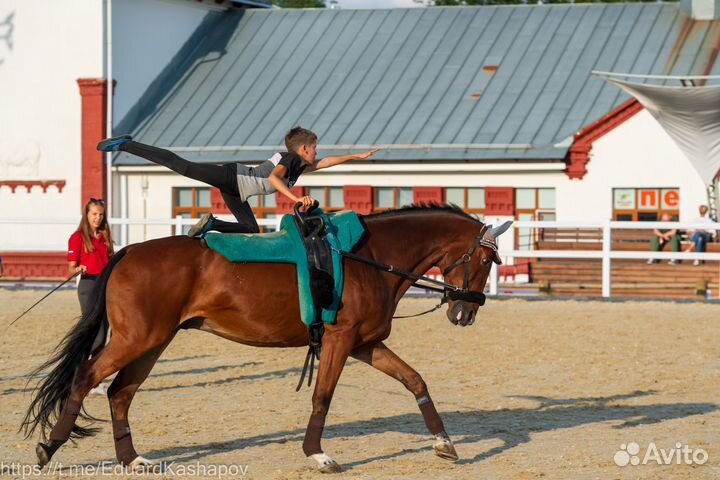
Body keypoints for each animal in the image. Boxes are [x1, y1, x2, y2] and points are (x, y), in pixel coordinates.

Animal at [21, 202, 512, 472]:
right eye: (488, 262)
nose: (466, 311)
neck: (371, 257)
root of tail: (126, 251)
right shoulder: (339, 341)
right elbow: (322, 397)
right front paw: (317, 454)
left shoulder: (365, 344)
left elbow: (415, 380)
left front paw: (444, 442)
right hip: (137, 339)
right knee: (87, 379)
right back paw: (49, 447)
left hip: (153, 342)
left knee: (120, 393)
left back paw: (131, 459)